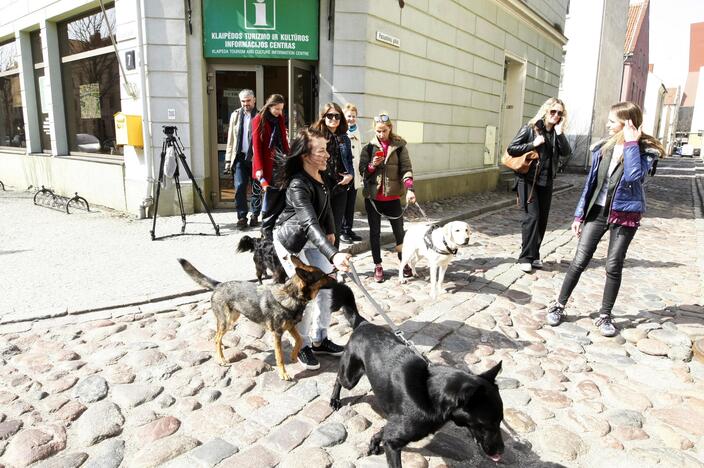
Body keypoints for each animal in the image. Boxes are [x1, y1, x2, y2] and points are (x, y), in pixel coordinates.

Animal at [180, 256, 336, 380]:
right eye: (323, 275)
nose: (335, 274)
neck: (291, 295)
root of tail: (219, 284)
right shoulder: (277, 334)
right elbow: (280, 357)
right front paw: (283, 373)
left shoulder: (290, 326)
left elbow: (299, 339)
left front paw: (293, 355)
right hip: (226, 321)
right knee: (217, 338)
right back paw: (221, 358)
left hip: (233, 318)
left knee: (218, 337)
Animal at [332, 316, 506, 466]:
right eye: (487, 423)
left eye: (500, 421)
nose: (502, 452)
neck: (430, 394)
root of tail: (364, 324)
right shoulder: (393, 443)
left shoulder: (393, 427)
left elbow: (382, 432)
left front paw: (374, 443)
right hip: (350, 378)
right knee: (338, 378)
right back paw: (334, 400)